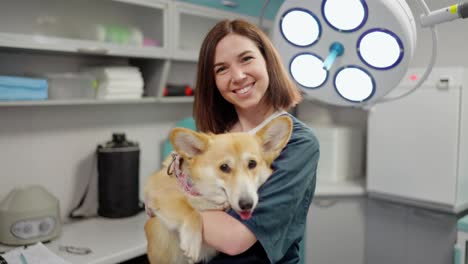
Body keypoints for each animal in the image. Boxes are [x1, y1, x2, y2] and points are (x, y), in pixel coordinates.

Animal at [144, 115, 290, 264]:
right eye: (224, 167)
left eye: (252, 164)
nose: (247, 204)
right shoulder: (159, 192)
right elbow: (191, 211)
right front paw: (192, 241)